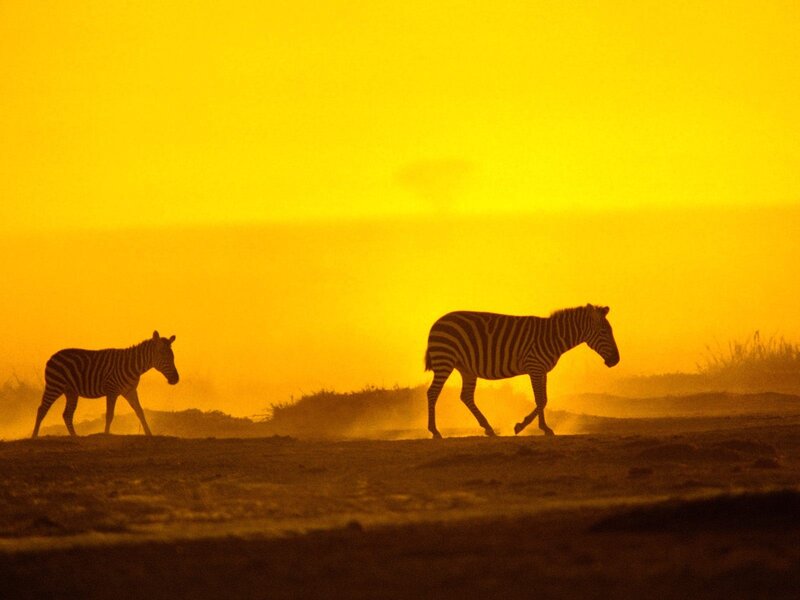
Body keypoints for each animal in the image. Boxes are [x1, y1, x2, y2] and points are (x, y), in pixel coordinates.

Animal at [32, 331, 179, 438]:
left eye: (173, 357)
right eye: (164, 356)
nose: (176, 379)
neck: (133, 366)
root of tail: (52, 357)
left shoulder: (130, 391)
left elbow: (140, 412)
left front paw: (149, 433)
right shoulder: (111, 391)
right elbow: (109, 414)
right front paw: (106, 434)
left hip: (71, 392)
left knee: (67, 414)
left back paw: (75, 436)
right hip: (54, 386)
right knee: (42, 409)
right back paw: (34, 436)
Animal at [424, 304, 619, 438]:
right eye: (604, 331)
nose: (616, 360)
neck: (553, 337)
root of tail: (436, 323)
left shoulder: (542, 370)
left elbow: (544, 399)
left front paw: (539, 427)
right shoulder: (535, 367)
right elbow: (540, 400)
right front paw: (528, 427)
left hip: (466, 368)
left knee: (466, 396)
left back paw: (488, 428)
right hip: (445, 360)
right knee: (433, 392)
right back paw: (435, 431)